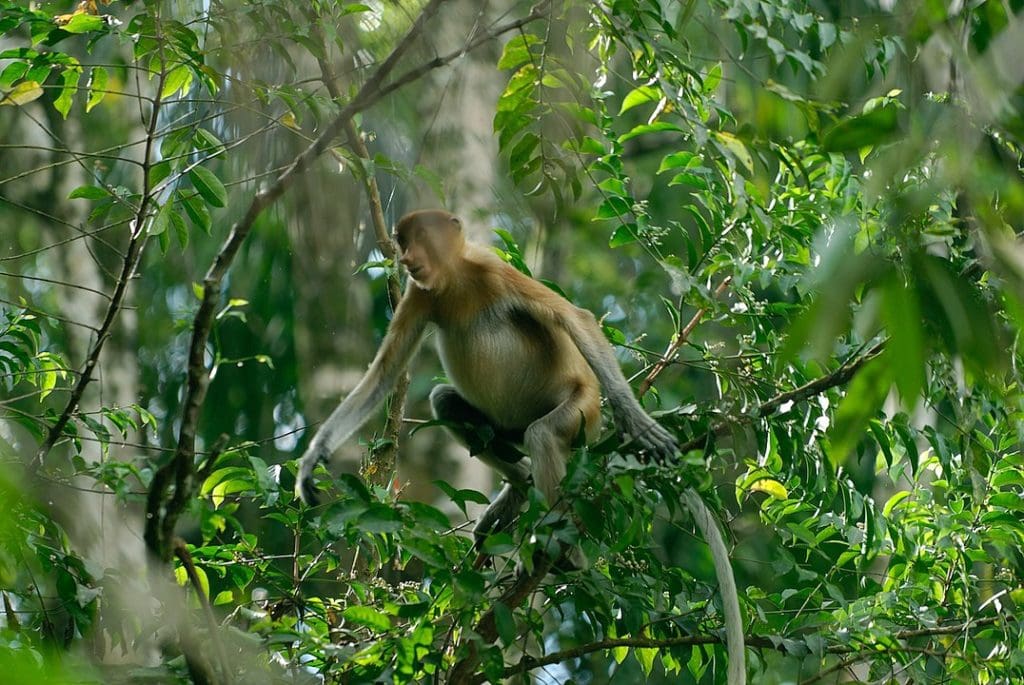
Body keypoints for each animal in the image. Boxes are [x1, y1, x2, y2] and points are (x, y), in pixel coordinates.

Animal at [295, 210, 745, 684]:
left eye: (416, 239)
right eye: (402, 241)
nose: (406, 259)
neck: (456, 283)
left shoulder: (493, 270)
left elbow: (574, 318)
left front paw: (637, 421)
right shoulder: (420, 296)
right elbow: (382, 375)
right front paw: (311, 461)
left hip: (581, 410)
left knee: (543, 435)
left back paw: (561, 548)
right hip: (503, 426)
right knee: (447, 402)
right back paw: (520, 488)